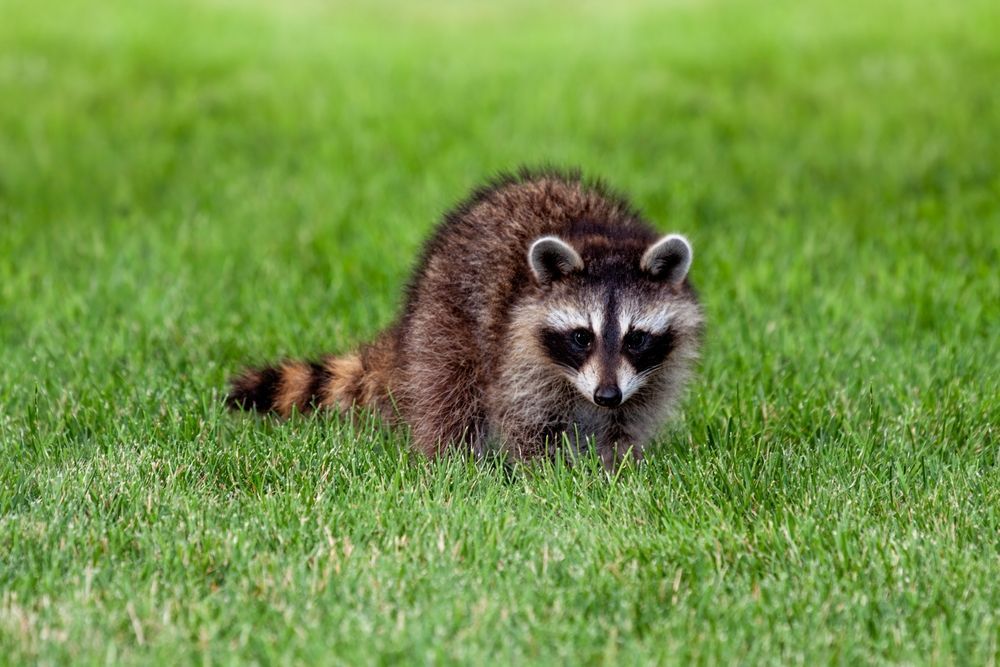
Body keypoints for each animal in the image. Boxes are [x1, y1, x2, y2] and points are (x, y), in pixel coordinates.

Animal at [227, 169, 704, 466]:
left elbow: (629, 419)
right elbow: (525, 418)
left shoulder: (649, 376)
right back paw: (454, 462)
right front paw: (547, 473)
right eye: (581, 337)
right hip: (445, 316)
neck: (601, 238)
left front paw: (619, 467)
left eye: (636, 338)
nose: (606, 396)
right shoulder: (517, 350)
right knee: (450, 387)